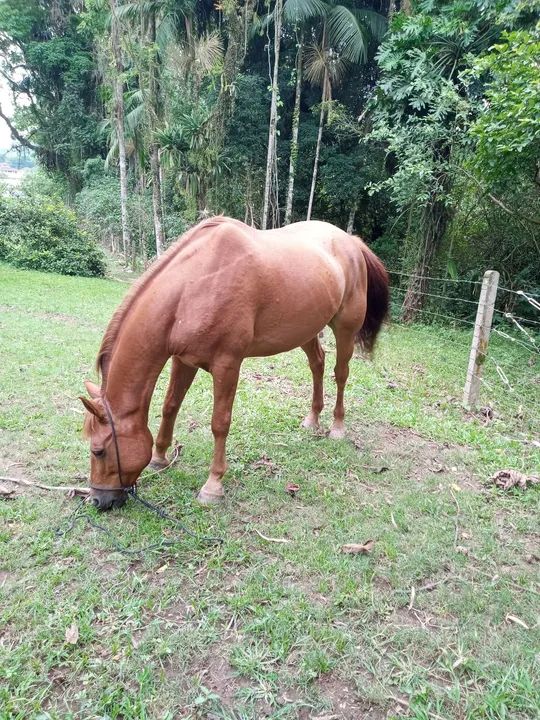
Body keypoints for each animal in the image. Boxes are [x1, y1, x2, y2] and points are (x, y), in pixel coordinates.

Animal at [80, 216, 389, 510]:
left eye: (99, 450)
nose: (98, 500)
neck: (192, 287)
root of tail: (351, 241)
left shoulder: (227, 365)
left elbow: (220, 423)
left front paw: (213, 486)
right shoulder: (183, 360)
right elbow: (170, 406)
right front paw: (159, 457)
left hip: (345, 328)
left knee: (341, 373)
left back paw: (337, 427)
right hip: (306, 330)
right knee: (318, 364)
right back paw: (312, 420)